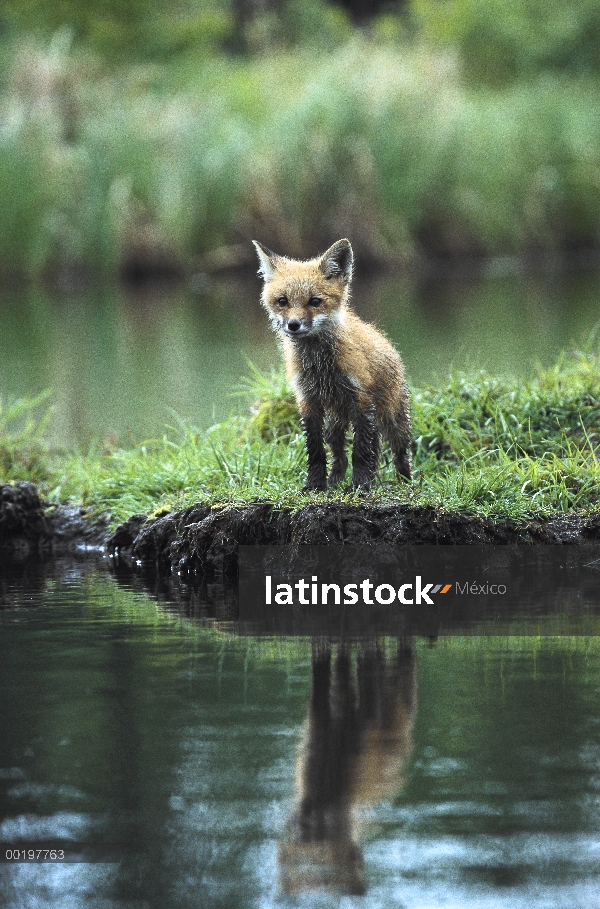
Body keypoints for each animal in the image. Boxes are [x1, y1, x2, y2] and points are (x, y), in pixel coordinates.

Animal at [251, 236, 410, 490]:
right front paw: (315, 485)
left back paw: (405, 480)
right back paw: (335, 481)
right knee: (340, 455)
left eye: (315, 301)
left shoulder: (362, 401)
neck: (320, 366)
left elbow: (361, 452)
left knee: (399, 451)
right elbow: (316, 451)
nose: (293, 325)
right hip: (334, 425)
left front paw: (360, 486)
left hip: (393, 419)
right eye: (282, 301)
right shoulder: (308, 401)